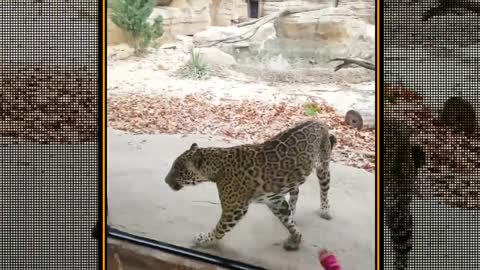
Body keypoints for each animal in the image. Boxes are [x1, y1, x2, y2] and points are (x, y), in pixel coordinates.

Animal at [165, 120, 338, 251]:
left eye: (177, 170)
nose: (166, 180)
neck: (216, 168)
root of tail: (319, 121)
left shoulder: (234, 209)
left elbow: (220, 229)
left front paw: (205, 240)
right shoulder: (275, 201)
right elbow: (287, 220)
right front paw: (295, 239)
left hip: (323, 167)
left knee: (324, 190)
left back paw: (325, 210)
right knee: (295, 190)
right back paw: (294, 209)